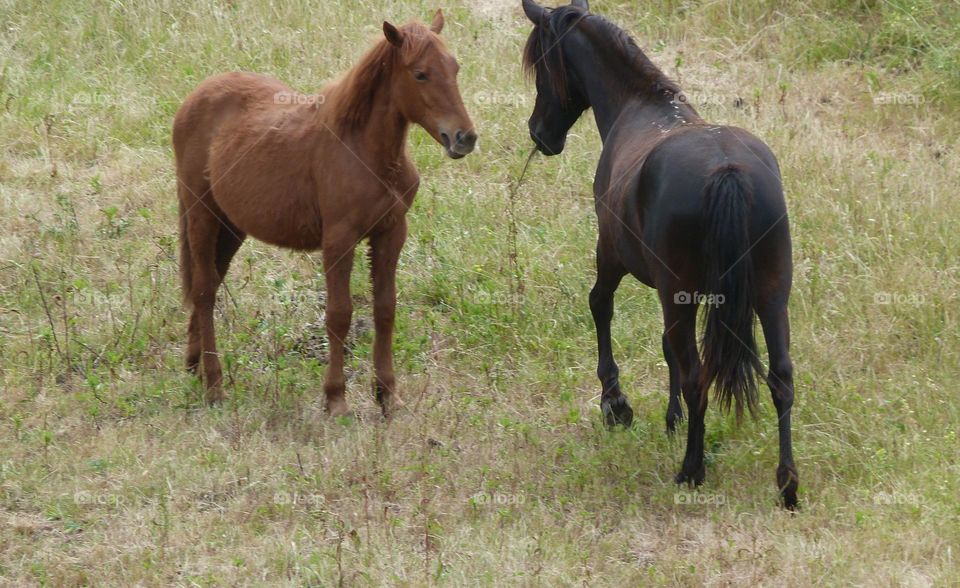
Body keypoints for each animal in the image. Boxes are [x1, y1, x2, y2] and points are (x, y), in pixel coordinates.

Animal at [173, 10, 476, 416]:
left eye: (454, 67)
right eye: (420, 74)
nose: (464, 138)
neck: (364, 150)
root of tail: (194, 99)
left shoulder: (391, 232)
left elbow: (385, 310)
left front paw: (387, 395)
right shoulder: (338, 240)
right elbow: (339, 314)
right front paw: (336, 399)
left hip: (232, 226)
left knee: (207, 283)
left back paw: (194, 367)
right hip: (201, 214)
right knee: (205, 290)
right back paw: (215, 387)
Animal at [521, 0, 799, 508]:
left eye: (542, 69)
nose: (539, 134)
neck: (641, 106)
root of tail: (728, 171)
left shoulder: (612, 255)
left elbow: (600, 306)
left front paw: (615, 403)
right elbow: (668, 349)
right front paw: (671, 419)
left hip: (683, 294)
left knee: (698, 377)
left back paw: (692, 470)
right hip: (771, 296)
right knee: (781, 379)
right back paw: (787, 484)